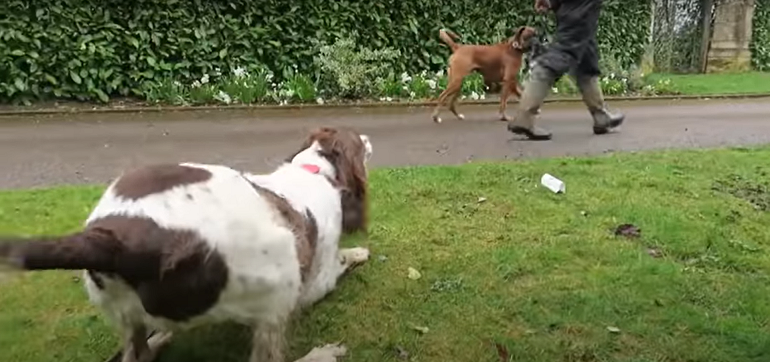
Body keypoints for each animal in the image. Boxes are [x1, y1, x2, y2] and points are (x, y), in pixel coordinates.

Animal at [0, 126, 372, 362]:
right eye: (357, 139)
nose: (369, 137)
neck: (313, 169)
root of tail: (113, 239)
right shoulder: (314, 280)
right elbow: (339, 262)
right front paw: (358, 252)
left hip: (123, 310)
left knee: (136, 354)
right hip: (278, 283)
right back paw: (321, 356)